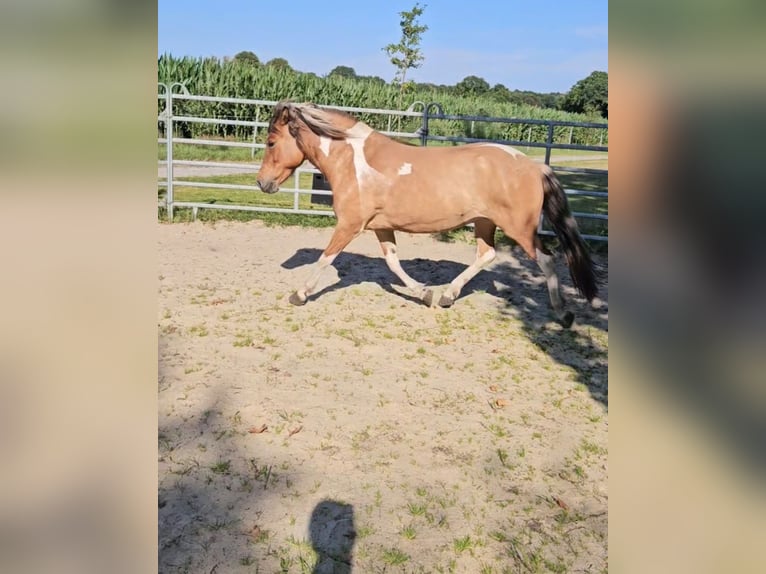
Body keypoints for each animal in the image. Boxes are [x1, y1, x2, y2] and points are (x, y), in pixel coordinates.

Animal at [256, 101, 598, 327]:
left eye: (271, 142)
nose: (262, 183)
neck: (351, 160)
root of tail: (535, 167)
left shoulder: (350, 224)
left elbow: (325, 259)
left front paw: (299, 294)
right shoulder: (381, 227)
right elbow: (393, 263)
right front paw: (424, 294)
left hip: (519, 228)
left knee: (546, 260)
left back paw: (563, 313)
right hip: (485, 223)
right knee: (486, 255)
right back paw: (447, 296)